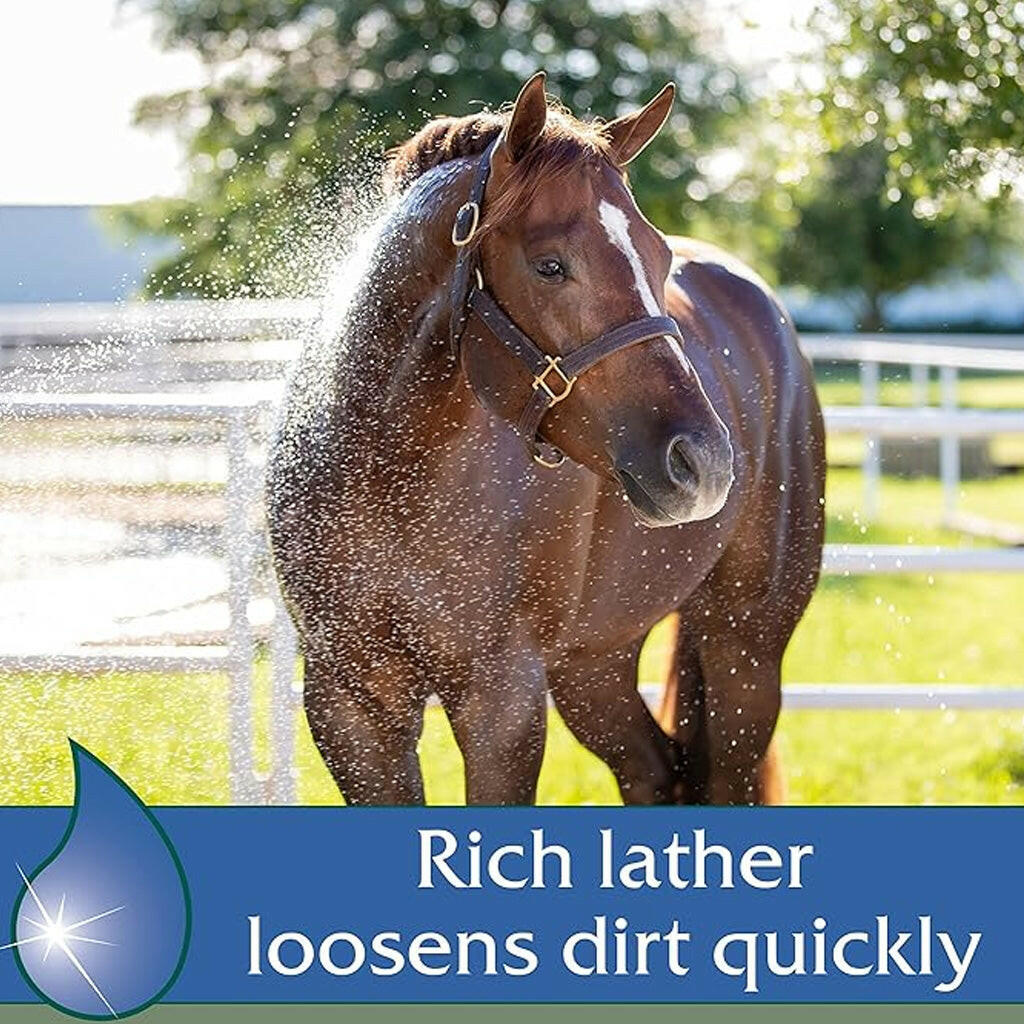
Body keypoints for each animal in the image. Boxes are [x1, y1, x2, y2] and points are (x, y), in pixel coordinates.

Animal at [266, 72, 825, 806]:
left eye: (659, 258)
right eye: (550, 266)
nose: (704, 462)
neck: (389, 476)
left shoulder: (502, 703)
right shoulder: (349, 705)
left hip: (745, 647)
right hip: (595, 663)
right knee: (653, 768)